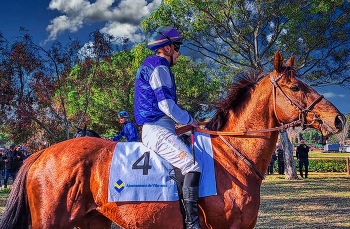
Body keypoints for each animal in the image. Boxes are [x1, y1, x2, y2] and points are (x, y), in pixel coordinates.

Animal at [0, 51, 344, 228]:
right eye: (296, 87)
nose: (338, 119)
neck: (232, 157)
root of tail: (40, 153)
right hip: (50, 222)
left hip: (91, 221)